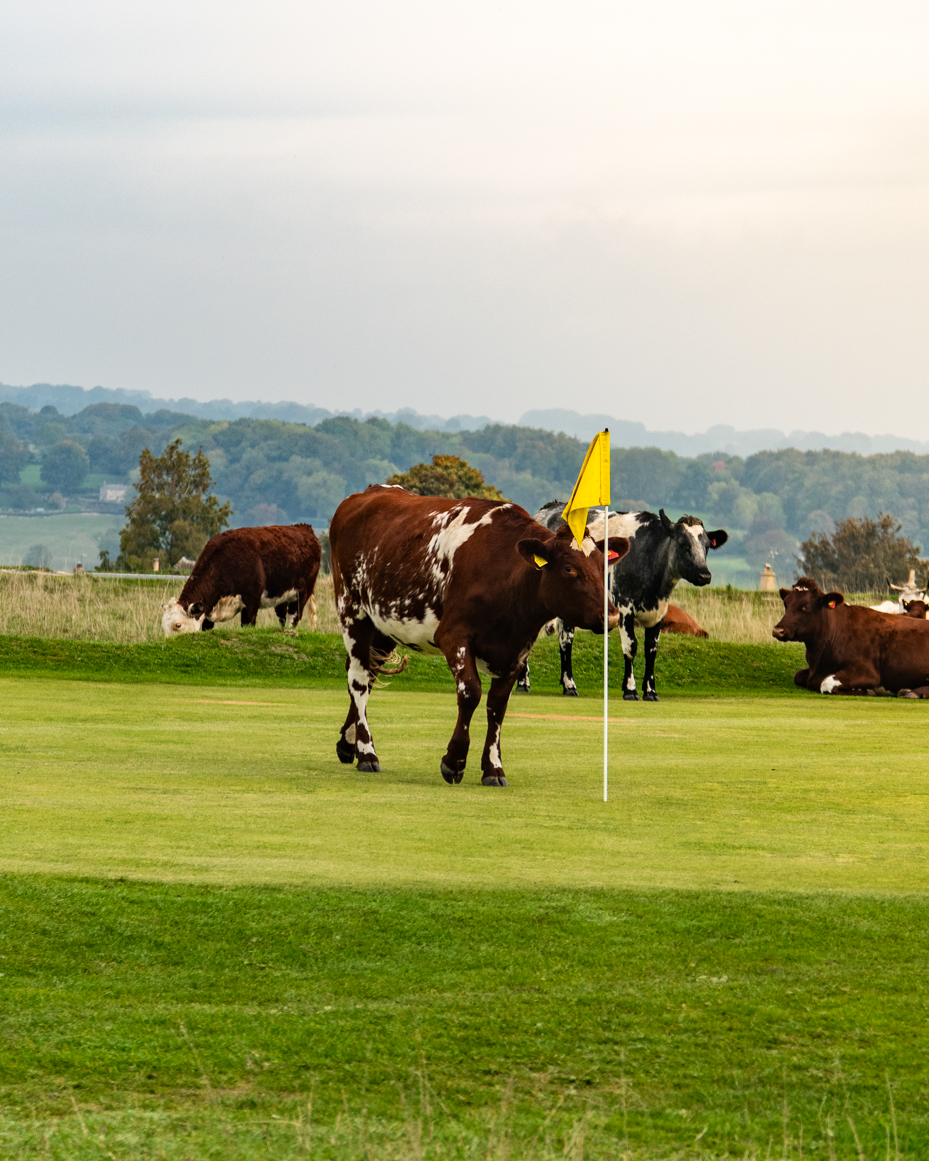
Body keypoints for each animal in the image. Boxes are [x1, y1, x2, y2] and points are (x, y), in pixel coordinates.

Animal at [162, 524, 321, 636]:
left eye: (178, 625)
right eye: (163, 626)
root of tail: (304, 527)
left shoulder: (251, 601)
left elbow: (247, 625)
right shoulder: (209, 608)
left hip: (302, 593)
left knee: (293, 617)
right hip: (282, 597)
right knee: (283, 617)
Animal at [329, 485, 629, 786]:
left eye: (602, 565)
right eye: (569, 568)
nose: (612, 616)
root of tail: (369, 492)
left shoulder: (517, 649)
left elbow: (497, 705)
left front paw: (493, 767)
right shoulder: (454, 636)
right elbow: (471, 692)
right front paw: (454, 760)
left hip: (385, 625)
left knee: (368, 674)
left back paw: (348, 742)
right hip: (352, 609)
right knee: (358, 679)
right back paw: (367, 752)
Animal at [517, 503, 727, 700]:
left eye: (707, 546)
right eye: (683, 544)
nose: (704, 575)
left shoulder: (660, 613)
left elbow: (651, 650)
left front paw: (650, 691)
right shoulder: (625, 608)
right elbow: (631, 647)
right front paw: (630, 689)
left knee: (564, 640)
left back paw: (565, 683)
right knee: (561, 640)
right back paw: (529, 683)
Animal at [772, 576, 929, 697]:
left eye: (805, 606)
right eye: (786, 604)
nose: (778, 630)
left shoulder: (867, 673)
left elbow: (826, 684)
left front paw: (866, 691)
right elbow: (798, 676)